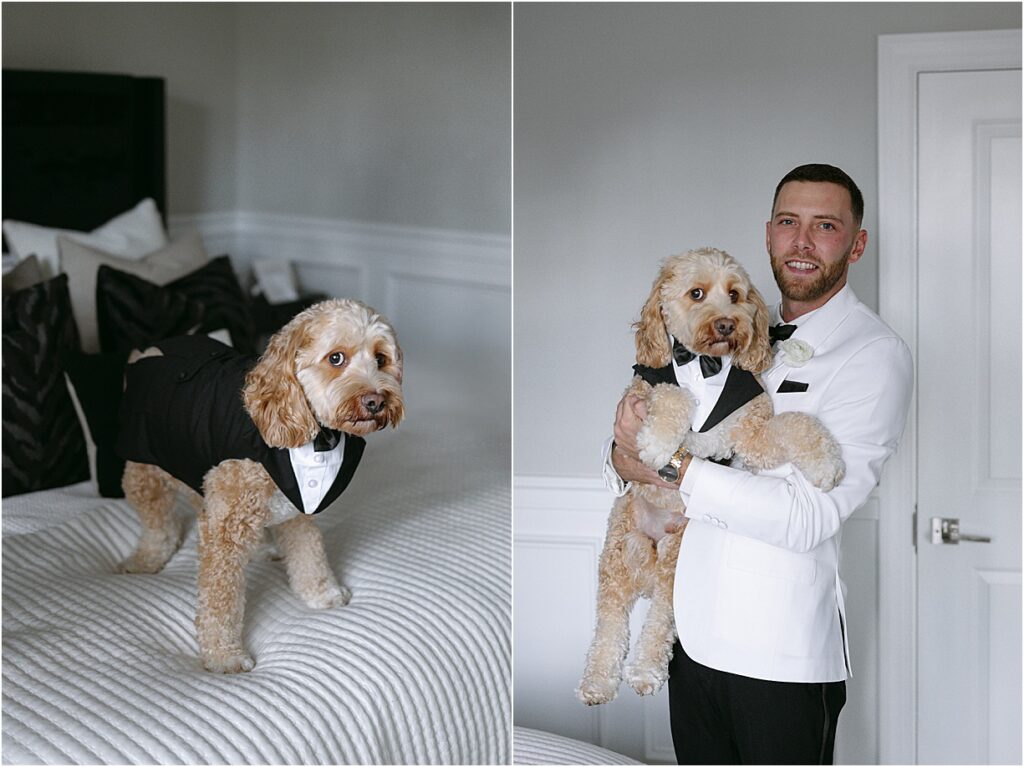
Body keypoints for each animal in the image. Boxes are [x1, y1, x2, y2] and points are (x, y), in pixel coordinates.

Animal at [116, 296, 403, 671]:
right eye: (336, 358)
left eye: (381, 359)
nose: (376, 401)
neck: (313, 436)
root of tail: (150, 349)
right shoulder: (223, 527)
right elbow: (219, 597)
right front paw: (224, 655)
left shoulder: (296, 506)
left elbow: (310, 552)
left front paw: (322, 593)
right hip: (146, 467)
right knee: (158, 523)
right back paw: (147, 559)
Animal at [581, 248, 843, 704]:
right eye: (697, 293)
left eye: (735, 294)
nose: (726, 324)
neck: (709, 366)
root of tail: (648, 568)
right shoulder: (642, 391)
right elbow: (672, 393)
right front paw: (658, 442)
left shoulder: (752, 434)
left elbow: (795, 425)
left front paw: (826, 462)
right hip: (619, 554)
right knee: (610, 624)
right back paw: (598, 680)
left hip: (673, 562)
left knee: (659, 621)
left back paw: (645, 671)